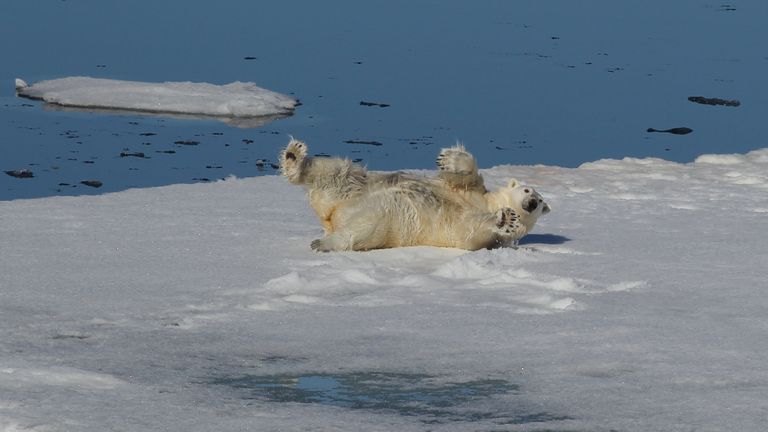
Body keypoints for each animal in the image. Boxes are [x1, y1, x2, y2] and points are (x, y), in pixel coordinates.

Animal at [280, 138, 550, 251]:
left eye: (539, 203)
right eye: (528, 190)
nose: (531, 201)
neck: (488, 204)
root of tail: (331, 216)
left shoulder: (480, 236)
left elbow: (470, 231)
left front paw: (506, 218)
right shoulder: (472, 192)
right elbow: (467, 175)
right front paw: (448, 158)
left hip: (387, 220)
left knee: (361, 230)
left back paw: (323, 243)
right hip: (353, 187)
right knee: (337, 171)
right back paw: (294, 156)